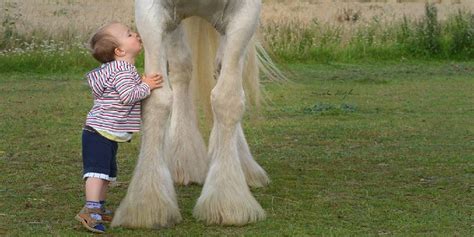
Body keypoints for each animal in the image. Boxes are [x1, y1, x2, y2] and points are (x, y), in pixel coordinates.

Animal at [111, 0, 282, 228]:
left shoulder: (246, 13)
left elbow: (228, 98)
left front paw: (227, 199)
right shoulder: (150, 12)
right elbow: (156, 100)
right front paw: (147, 203)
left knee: (221, 70)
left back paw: (244, 165)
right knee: (181, 67)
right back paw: (183, 160)